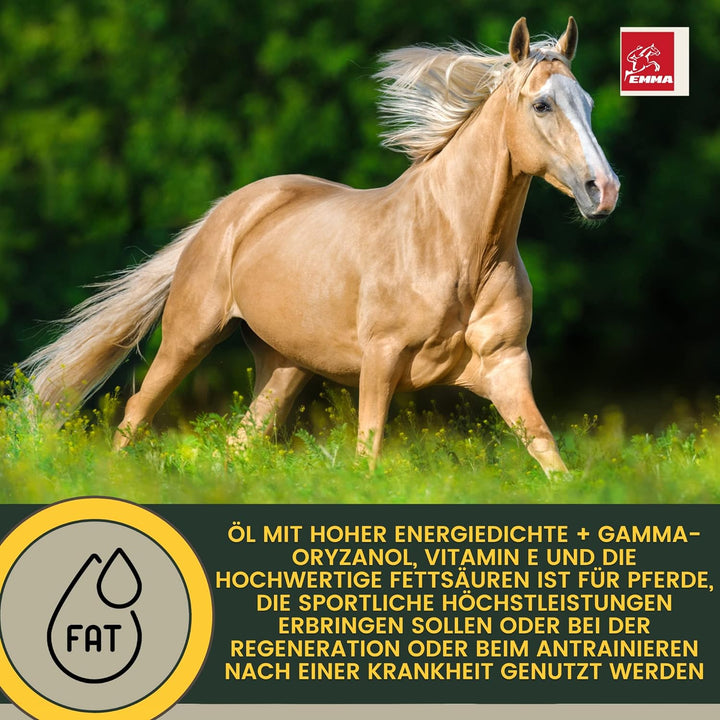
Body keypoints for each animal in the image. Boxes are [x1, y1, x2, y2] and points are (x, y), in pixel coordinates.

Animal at [20, 17, 619, 477]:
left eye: (588, 102)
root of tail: (226, 213)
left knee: (238, 442)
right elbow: (367, 456)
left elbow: (550, 456)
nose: (603, 190)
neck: (459, 250)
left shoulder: (506, 365)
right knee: (136, 413)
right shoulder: (381, 360)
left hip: (284, 367)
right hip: (188, 337)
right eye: (542, 105)